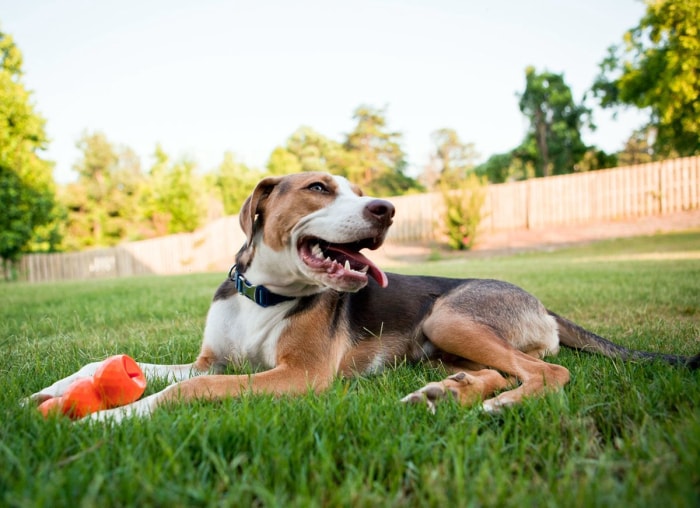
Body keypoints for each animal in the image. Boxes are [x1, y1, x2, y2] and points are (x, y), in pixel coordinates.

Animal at [32, 172, 700, 420]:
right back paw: (448, 392)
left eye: (358, 191)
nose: (387, 209)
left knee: (547, 371)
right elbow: (125, 363)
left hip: (450, 315)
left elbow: (183, 390)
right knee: (503, 369)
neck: (264, 296)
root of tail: (540, 301)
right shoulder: (213, 361)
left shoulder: (296, 377)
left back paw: (499, 405)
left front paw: (112, 416)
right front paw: (59, 389)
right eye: (319, 188)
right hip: (443, 340)